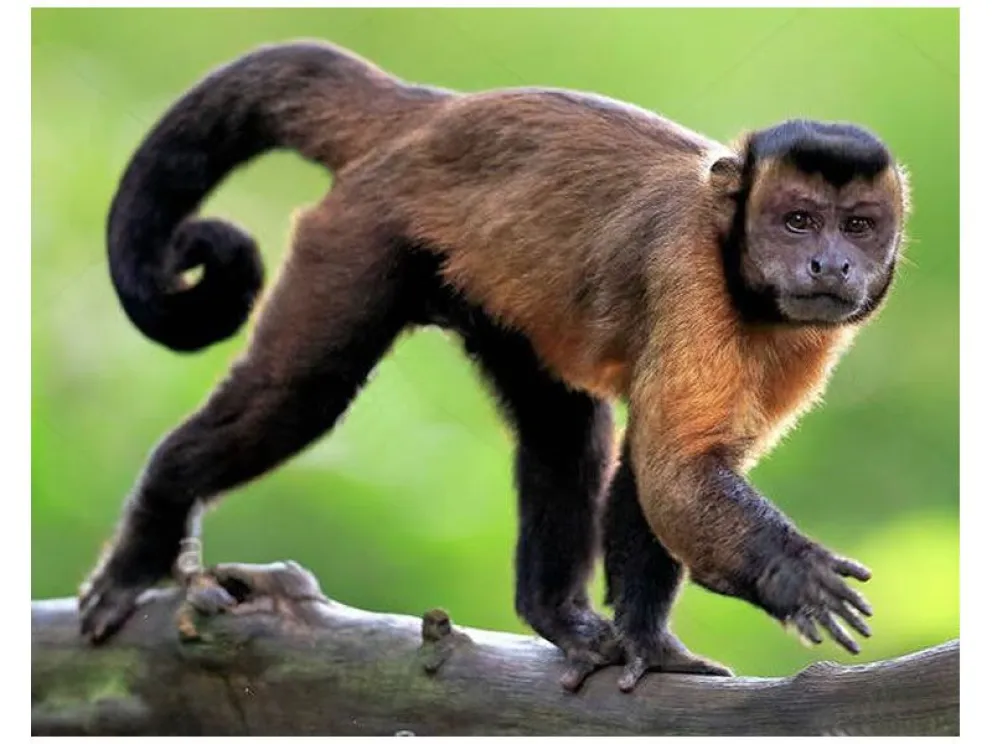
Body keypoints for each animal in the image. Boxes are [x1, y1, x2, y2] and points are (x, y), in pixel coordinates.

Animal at [81, 40, 912, 692]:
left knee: (563, 426)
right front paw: (790, 571)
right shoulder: (686, 272)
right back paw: (148, 535)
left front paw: (647, 645)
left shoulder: (809, 342)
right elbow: (675, 468)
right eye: (797, 220)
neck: (743, 282)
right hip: (364, 228)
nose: (830, 263)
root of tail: (426, 111)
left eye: (858, 226)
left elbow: (658, 469)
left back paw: (556, 615)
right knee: (297, 395)